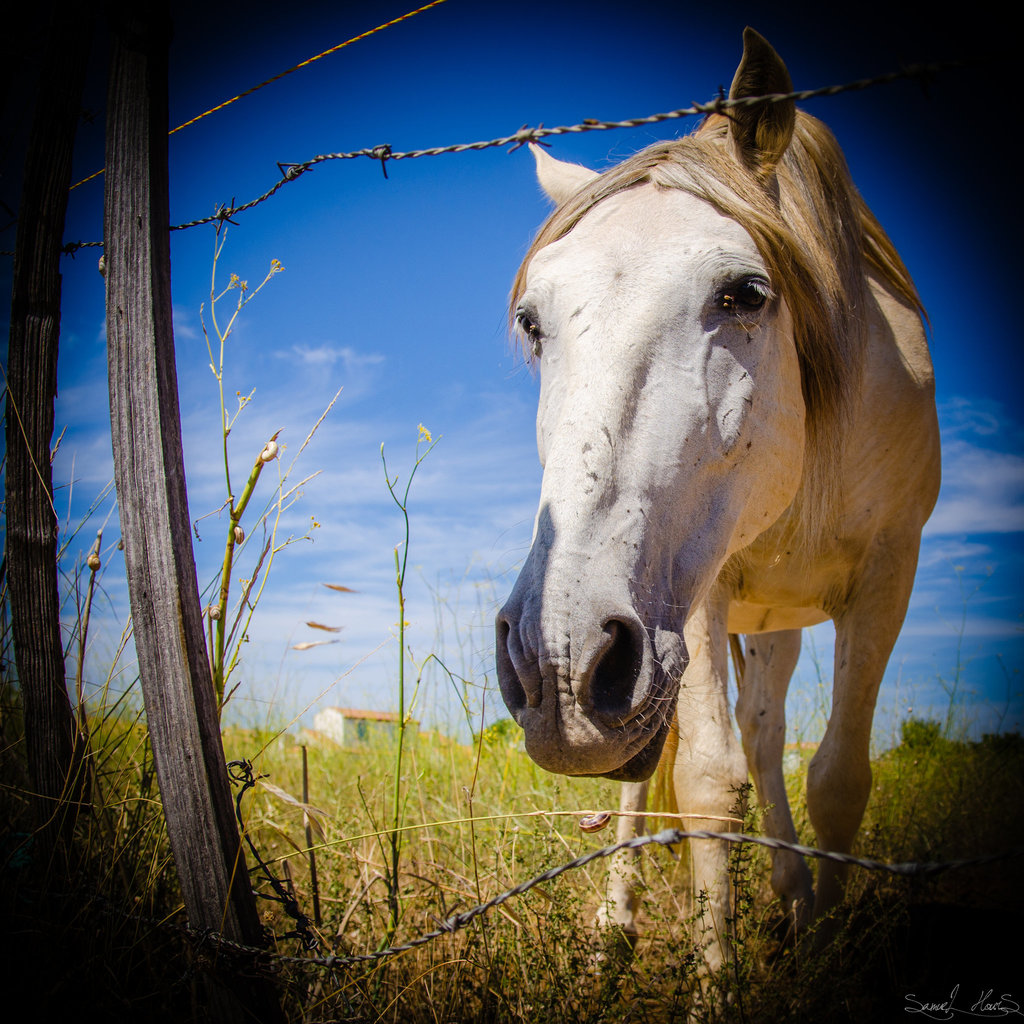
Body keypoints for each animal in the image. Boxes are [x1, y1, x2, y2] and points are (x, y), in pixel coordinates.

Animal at [495, 25, 937, 966]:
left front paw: (825, 940)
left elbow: (838, 777)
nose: (555, 663)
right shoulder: (695, 594)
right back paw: (618, 918)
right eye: (532, 322)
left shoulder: (889, 575)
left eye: (746, 293)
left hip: (767, 627)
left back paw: (794, 895)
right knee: (648, 775)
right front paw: (716, 976)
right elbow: (703, 785)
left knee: (766, 737)